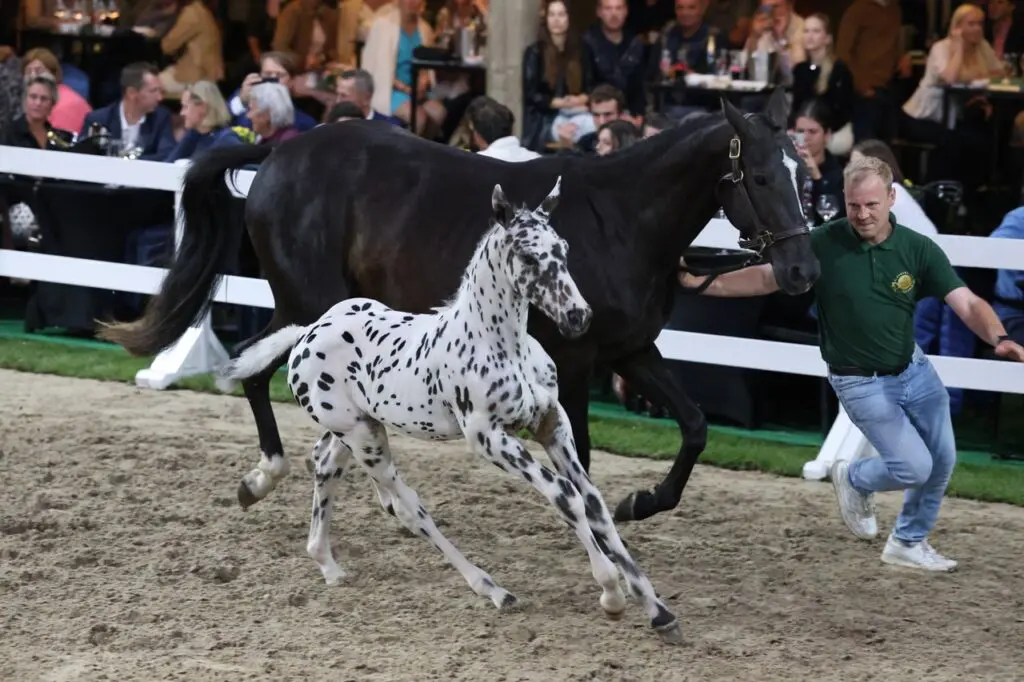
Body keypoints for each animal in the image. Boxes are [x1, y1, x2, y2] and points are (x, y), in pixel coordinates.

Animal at [98, 89, 821, 525]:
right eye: (761, 176)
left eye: (805, 173)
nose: (800, 271)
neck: (618, 220)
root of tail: (278, 151)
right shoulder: (575, 357)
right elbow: (582, 452)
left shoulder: (631, 349)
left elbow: (695, 425)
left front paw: (640, 502)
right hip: (313, 308)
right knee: (263, 376)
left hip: (310, 311)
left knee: (255, 372)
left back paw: (274, 479)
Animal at [215, 179, 683, 644]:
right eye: (529, 255)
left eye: (563, 249)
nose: (577, 316)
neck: (499, 344)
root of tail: (306, 332)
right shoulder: (489, 438)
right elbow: (564, 495)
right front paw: (611, 592)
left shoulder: (552, 423)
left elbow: (593, 502)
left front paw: (658, 610)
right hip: (365, 439)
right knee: (410, 508)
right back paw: (493, 589)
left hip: (360, 427)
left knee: (325, 463)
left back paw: (327, 563)